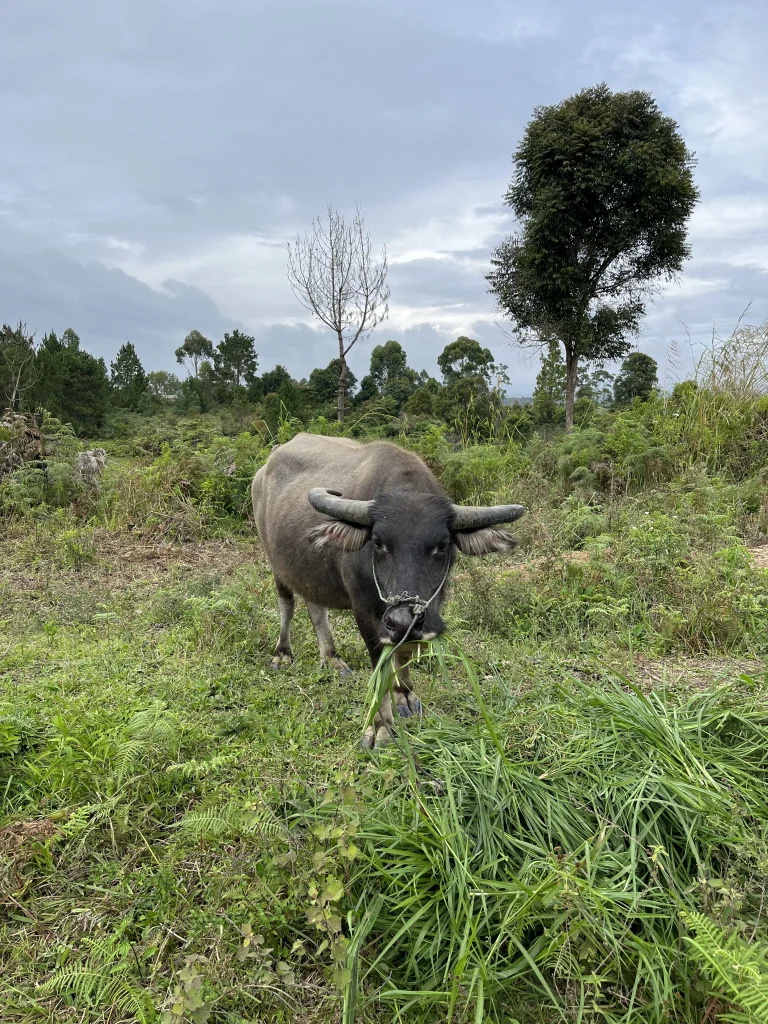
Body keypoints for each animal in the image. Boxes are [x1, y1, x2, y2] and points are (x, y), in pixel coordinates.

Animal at [251, 433, 524, 747]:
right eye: (379, 543)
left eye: (442, 545)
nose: (405, 619)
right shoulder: (365, 613)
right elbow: (379, 663)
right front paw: (380, 726)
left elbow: (402, 653)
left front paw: (404, 694)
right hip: (275, 562)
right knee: (287, 602)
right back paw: (282, 654)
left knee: (315, 606)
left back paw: (331, 658)